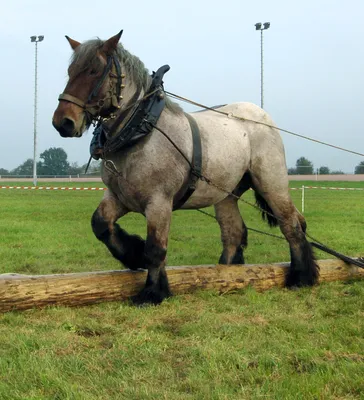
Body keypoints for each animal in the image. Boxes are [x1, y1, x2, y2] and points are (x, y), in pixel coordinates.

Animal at [52, 31, 318, 304]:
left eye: (94, 71)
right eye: (70, 71)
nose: (63, 122)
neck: (140, 131)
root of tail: (263, 116)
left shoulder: (159, 201)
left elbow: (155, 248)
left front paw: (152, 292)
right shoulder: (119, 196)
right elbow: (101, 224)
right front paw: (133, 254)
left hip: (271, 182)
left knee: (291, 223)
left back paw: (302, 277)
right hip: (226, 195)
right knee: (233, 232)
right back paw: (224, 274)